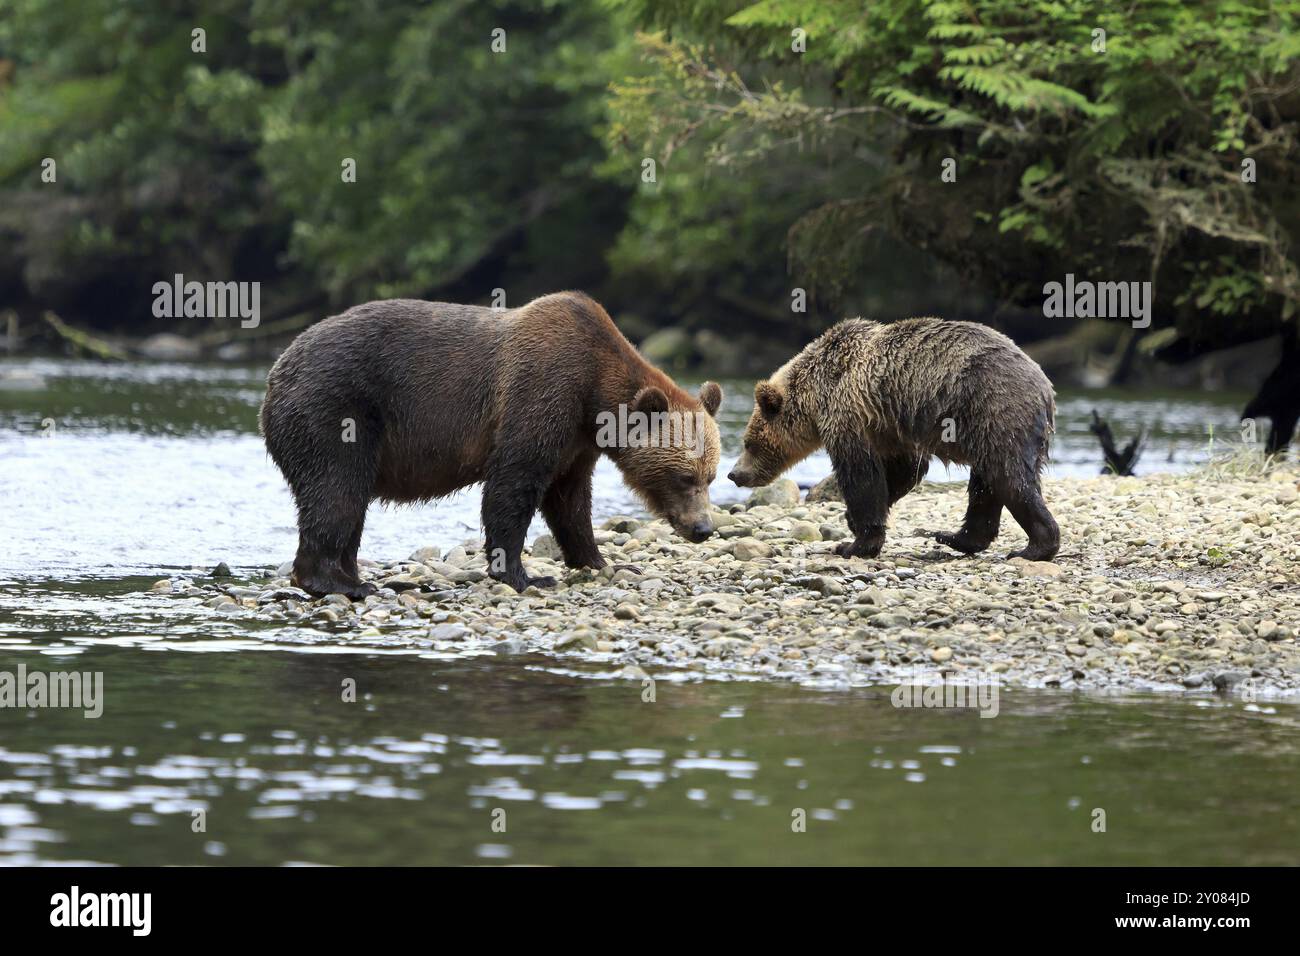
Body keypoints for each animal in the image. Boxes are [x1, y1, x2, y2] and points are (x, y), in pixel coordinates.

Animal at [256, 291, 722, 598]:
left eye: (711, 476)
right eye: (684, 477)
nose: (703, 529)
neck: (596, 393)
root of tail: (275, 371)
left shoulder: (577, 443)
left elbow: (569, 500)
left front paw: (599, 560)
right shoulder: (543, 390)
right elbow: (513, 483)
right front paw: (524, 574)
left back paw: (351, 576)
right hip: (336, 410)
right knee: (337, 490)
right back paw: (339, 582)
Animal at [728, 317, 1060, 564]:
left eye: (748, 442)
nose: (734, 473)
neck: (815, 396)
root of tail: (1045, 385)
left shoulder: (848, 412)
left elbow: (860, 474)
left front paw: (854, 544)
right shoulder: (889, 426)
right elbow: (905, 470)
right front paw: (853, 522)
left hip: (992, 408)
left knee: (1006, 476)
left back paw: (1035, 547)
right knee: (986, 484)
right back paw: (955, 537)